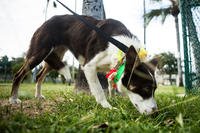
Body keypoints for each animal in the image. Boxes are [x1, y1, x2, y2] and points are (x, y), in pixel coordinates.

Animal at [9, 14, 159, 114]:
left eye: (154, 90)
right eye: (146, 89)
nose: (155, 112)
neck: (121, 47)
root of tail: (46, 21)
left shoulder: (114, 67)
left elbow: (111, 84)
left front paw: (113, 98)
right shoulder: (89, 66)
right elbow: (99, 90)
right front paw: (107, 106)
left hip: (54, 55)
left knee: (40, 75)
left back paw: (38, 95)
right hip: (39, 52)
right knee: (19, 74)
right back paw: (13, 99)